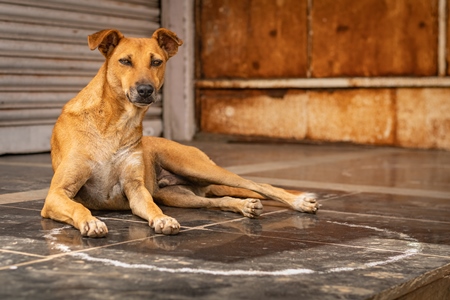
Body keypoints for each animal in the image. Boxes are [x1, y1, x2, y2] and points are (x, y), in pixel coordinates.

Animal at [40, 29, 318, 238]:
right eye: (125, 61)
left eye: (156, 62)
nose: (145, 90)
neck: (116, 122)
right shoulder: (56, 194)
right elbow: (78, 208)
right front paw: (91, 221)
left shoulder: (136, 190)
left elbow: (151, 208)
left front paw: (161, 220)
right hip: (178, 196)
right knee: (215, 201)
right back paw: (242, 205)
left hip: (195, 166)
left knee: (258, 184)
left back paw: (299, 202)